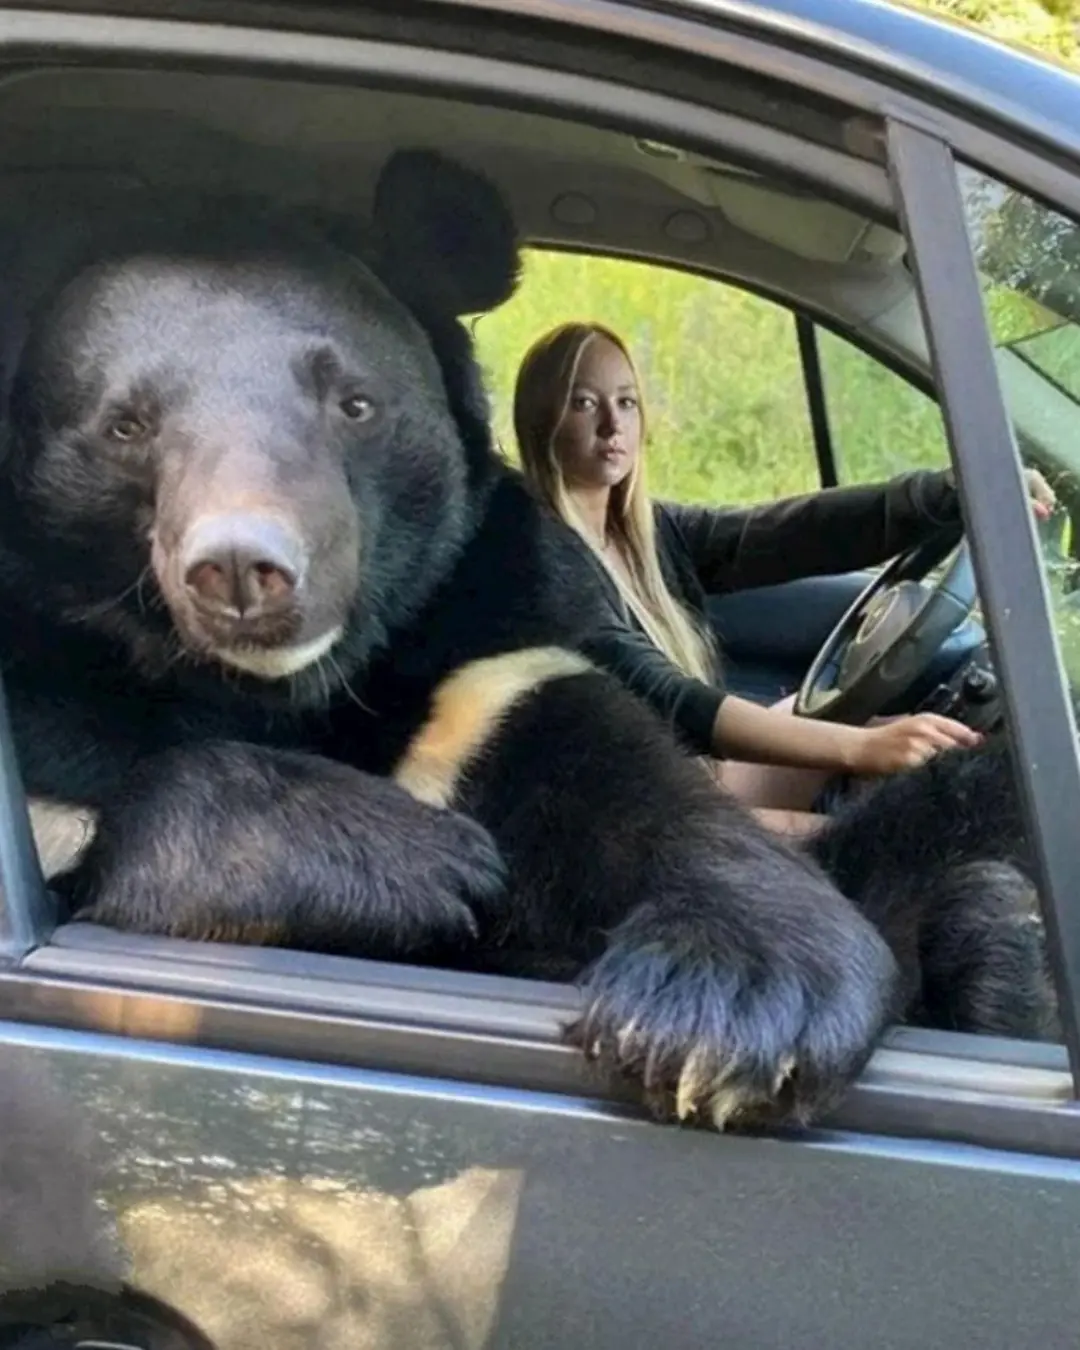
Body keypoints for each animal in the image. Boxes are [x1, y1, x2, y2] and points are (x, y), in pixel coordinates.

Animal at [0, 148, 1053, 1134]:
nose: (243, 569)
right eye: (127, 425)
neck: (299, 691)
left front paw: (727, 1007)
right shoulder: (54, 711)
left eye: (354, 403)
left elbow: (626, 784)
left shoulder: (489, 654)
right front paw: (423, 860)